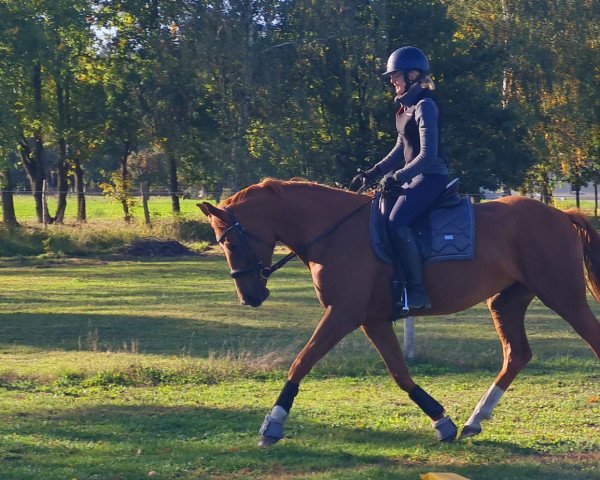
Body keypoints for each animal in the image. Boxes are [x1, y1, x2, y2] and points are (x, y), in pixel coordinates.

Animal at [199, 179, 600, 446]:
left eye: (231, 242)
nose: (249, 297)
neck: (333, 232)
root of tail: (561, 215)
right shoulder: (372, 320)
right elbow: (400, 373)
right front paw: (442, 422)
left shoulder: (343, 314)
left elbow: (302, 362)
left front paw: (273, 424)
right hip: (506, 302)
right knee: (517, 354)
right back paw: (475, 420)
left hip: (563, 297)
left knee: (590, 340)